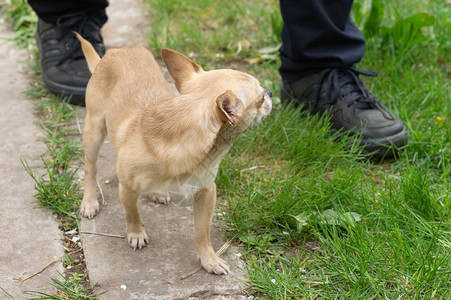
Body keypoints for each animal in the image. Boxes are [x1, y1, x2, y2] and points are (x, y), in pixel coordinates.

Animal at [77, 34, 272, 276]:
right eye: (261, 98)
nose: (271, 92)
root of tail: (114, 52)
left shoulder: (206, 192)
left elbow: (202, 233)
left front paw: (209, 259)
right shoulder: (127, 189)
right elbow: (132, 213)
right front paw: (136, 233)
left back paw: (157, 193)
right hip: (94, 131)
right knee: (90, 167)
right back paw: (89, 201)